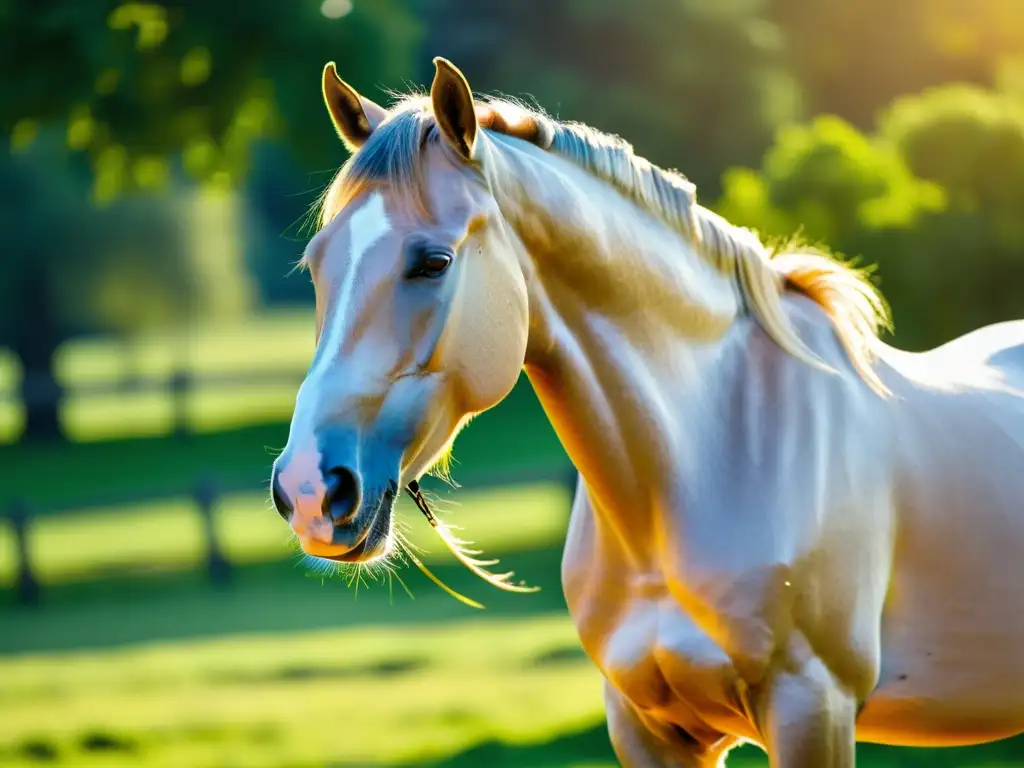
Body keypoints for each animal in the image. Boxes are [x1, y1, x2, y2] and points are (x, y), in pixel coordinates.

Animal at [266, 60, 1024, 768]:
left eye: (433, 261)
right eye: (316, 264)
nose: (308, 490)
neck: (710, 453)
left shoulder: (813, 707)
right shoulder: (645, 724)